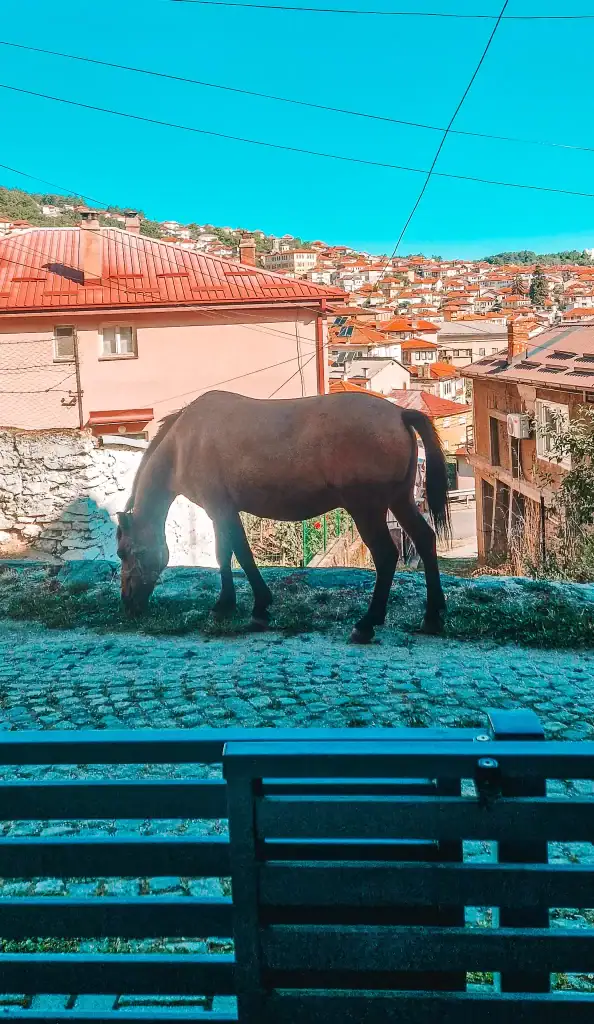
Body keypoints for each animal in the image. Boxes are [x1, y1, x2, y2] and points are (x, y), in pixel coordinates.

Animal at [116, 389, 451, 643]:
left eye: (122, 552)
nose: (128, 603)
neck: (183, 442)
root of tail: (399, 414)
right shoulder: (226, 511)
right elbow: (234, 554)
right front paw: (245, 606)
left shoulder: (220, 510)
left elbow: (233, 554)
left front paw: (240, 607)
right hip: (400, 501)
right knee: (424, 539)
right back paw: (432, 617)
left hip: (367, 509)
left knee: (386, 556)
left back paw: (366, 624)